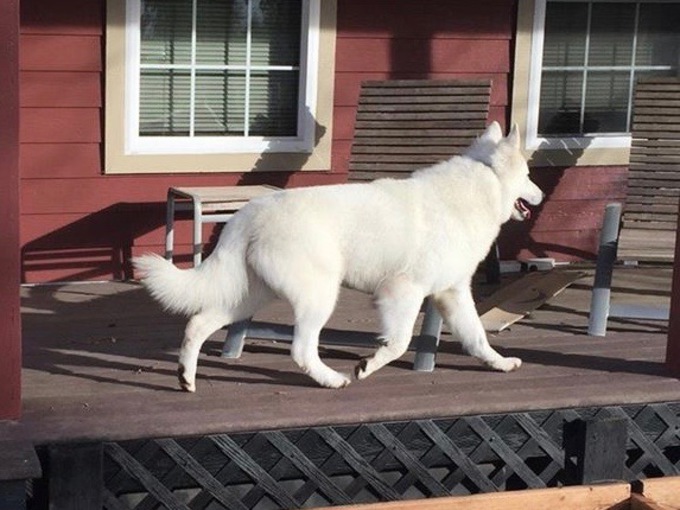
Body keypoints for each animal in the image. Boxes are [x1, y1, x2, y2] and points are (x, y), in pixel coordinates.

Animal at [135, 122, 544, 390]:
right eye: (528, 174)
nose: (540, 196)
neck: (484, 182)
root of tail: (250, 212)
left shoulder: (452, 294)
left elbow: (477, 339)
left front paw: (500, 364)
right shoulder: (403, 292)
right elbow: (398, 343)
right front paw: (367, 366)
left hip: (249, 297)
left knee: (198, 324)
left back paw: (185, 378)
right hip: (318, 296)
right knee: (301, 350)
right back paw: (332, 380)